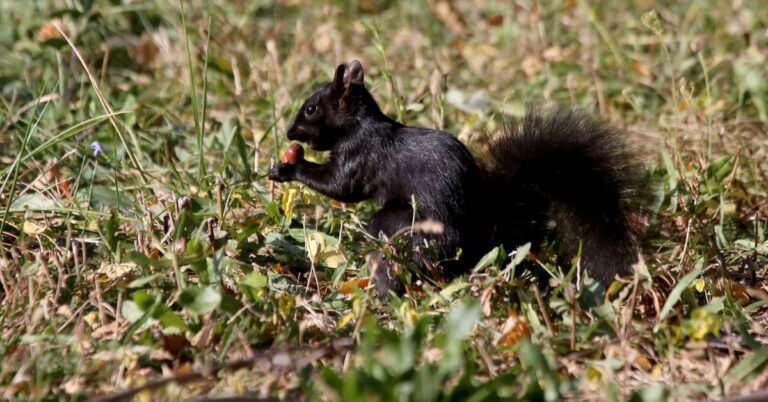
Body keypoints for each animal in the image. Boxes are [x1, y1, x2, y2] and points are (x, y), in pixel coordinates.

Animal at [268, 59, 644, 296]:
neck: (359, 125)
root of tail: (480, 240)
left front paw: (288, 169)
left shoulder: (361, 156)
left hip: (409, 227)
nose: (289, 133)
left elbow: (341, 186)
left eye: (311, 109)